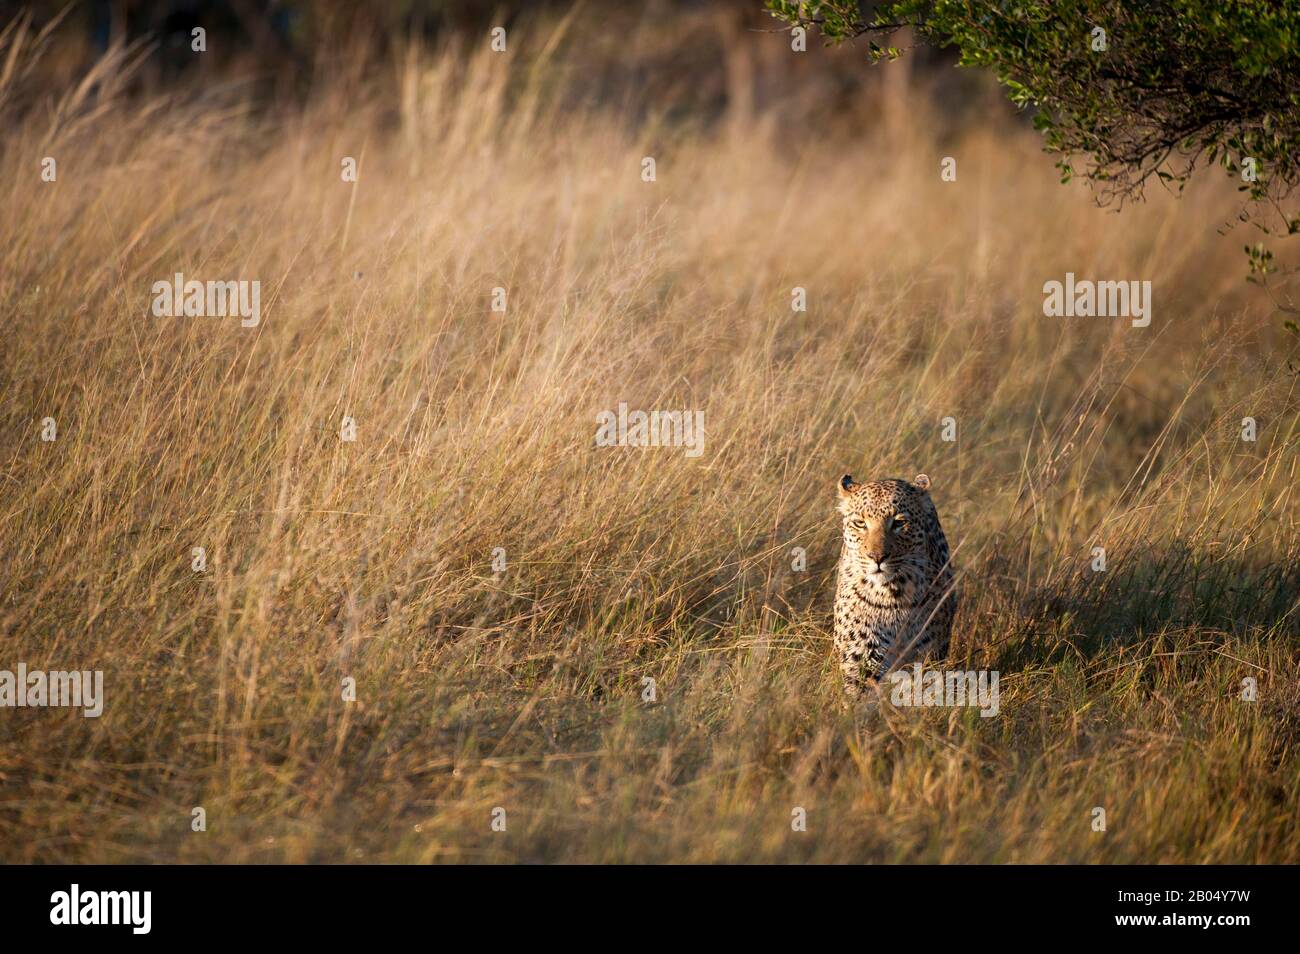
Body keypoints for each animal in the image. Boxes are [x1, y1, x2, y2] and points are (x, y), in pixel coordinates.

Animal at [833, 472, 957, 698]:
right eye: (860, 523)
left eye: (899, 522)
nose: (877, 557)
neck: (893, 594)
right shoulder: (862, 652)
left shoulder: (926, 652)